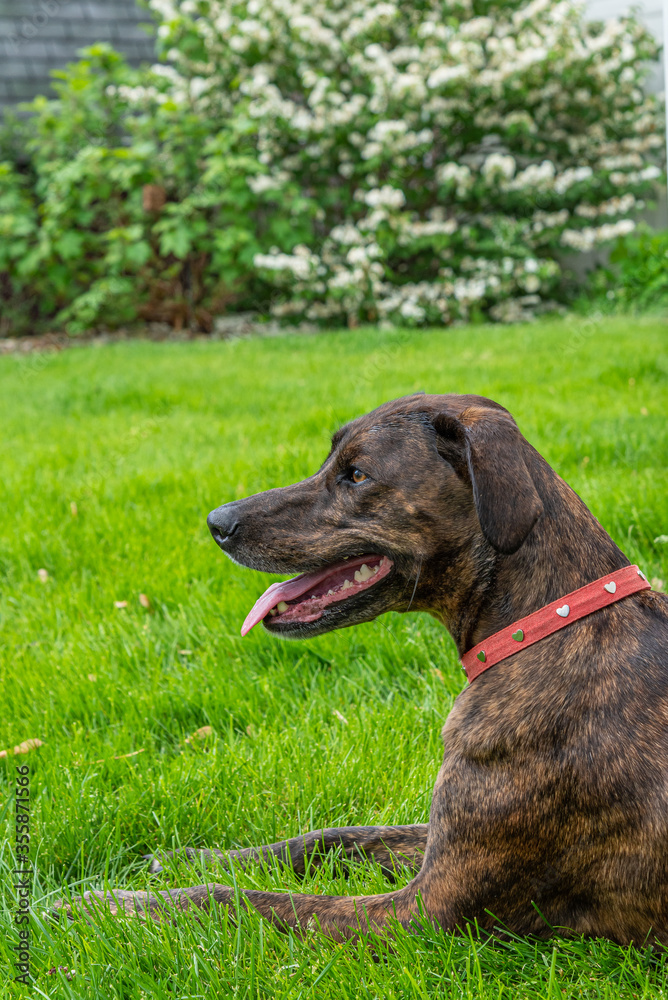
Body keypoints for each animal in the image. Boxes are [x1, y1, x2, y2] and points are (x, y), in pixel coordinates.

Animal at [57, 392, 668, 944]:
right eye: (332, 463)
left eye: (356, 475)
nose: (216, 522)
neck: (548, 626)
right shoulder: (431, 840)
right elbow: (335, 835)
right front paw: (202, 856)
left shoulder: (425, 912)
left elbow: (253, 902)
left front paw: (112, 907)